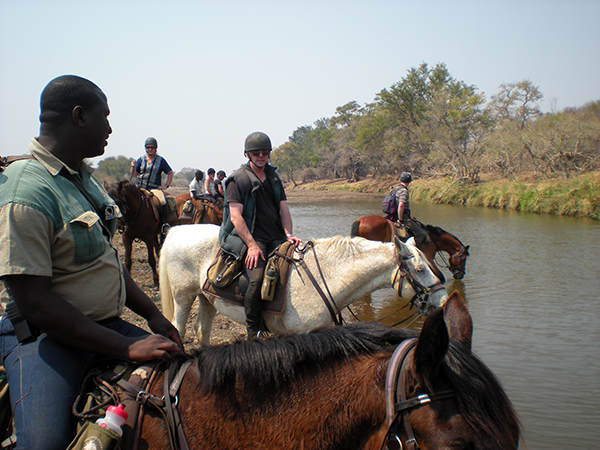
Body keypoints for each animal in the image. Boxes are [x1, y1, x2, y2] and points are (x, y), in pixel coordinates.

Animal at [157, 223, 448, 342]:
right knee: (180, 328)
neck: (326, 278)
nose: (443, 301)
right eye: (420, 269)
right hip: (183, 297)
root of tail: (176, 231)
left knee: (202, 331)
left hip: (207, 299)